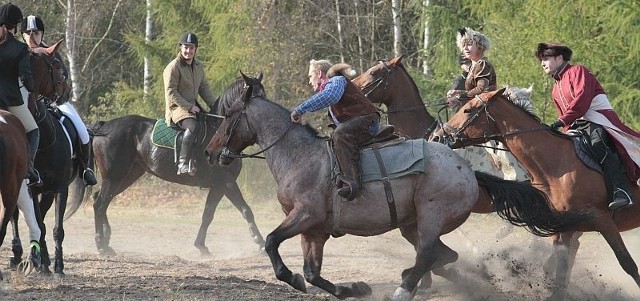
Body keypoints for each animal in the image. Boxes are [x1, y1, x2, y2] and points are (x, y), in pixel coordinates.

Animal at [68, 71, 270, 255]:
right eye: (253, 96)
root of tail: (104, 126)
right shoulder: (227, 183)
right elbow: (246, 210)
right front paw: (260, 243)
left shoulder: (218, 186)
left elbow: (207, 215)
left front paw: (201, 246)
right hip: (114, 176)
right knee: (99, 204)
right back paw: (101, 246)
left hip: (128, 176)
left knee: (102, 202)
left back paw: (106, 240)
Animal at [205, 86, 592, 300]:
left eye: (229, 116)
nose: (209, 152)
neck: (300, 156)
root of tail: (469, 171)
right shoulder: (314, 230)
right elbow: (313, 272)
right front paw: (353, 289)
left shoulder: (305, 216)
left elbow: (273, 244)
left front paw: (297, 281)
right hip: (411, 224)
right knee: (441, 256)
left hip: (430, 216)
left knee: (428, 256)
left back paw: (405, 287)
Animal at [432, 88, 640, 298]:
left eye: (467, 110)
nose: (437, 137)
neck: (556, 165)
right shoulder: (566, 227)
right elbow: (561, 265)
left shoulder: (603, 220)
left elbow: (628, 264)